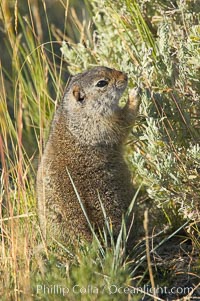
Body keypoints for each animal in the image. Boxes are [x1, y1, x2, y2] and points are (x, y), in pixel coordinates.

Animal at [37, 65, 141, 244]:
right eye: (101, 83)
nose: (125, 76)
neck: (74, 113)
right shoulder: (101, 124)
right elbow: (123, 122)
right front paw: (134, 95)